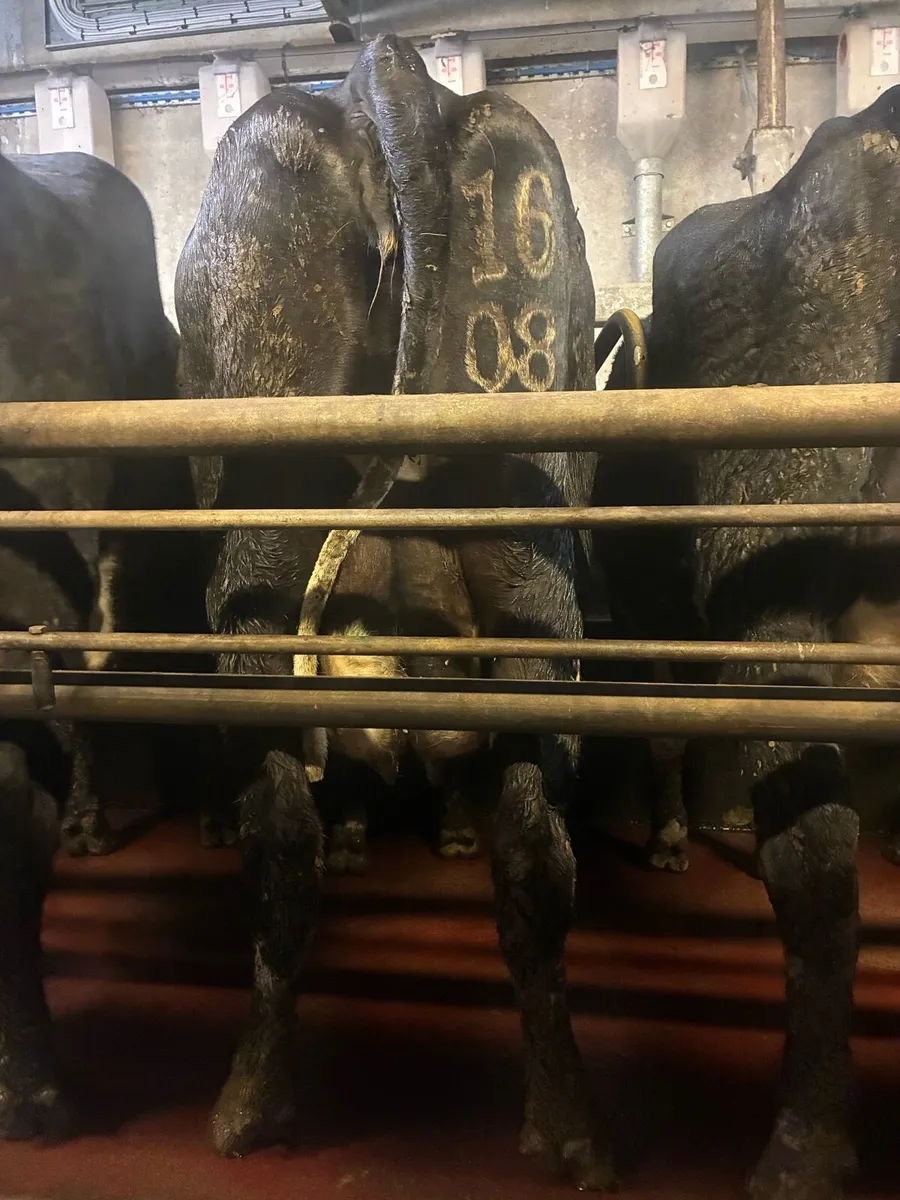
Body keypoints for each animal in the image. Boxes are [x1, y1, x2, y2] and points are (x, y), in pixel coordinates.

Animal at [175, 33, 610, 1188]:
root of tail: (388, 78)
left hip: (265, 543)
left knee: (284, 833)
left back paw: (253, 1102)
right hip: (527, 560)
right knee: (530, 841)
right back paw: (566, 1127)